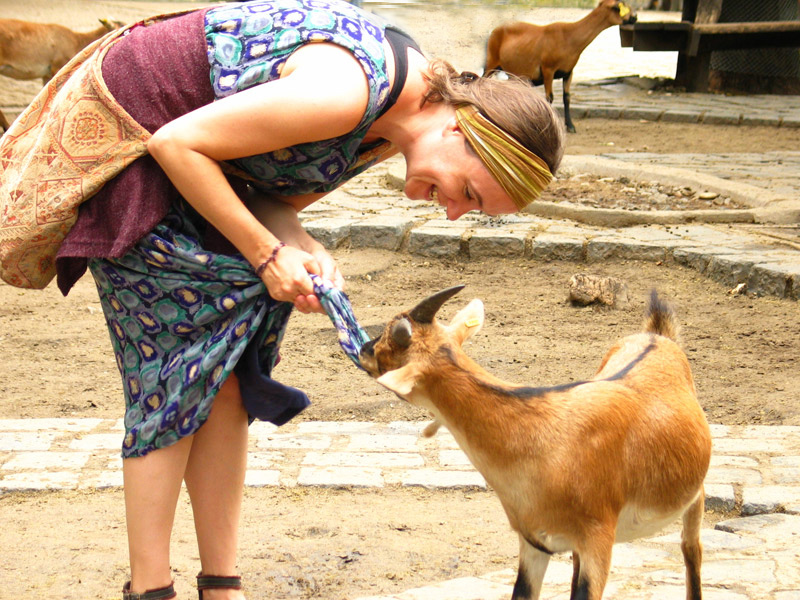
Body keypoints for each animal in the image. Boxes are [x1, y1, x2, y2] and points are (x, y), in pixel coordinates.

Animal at [360, 288, 708, 600]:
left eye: (389, 338)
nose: (364, 347)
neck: (539, 439)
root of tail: (657, 335)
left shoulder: (598, 540)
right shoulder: (534, 543)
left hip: (694, 498)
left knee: (691, 550)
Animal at [482, 0, 636, 132]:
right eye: (617, 7)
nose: (634, 18)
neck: (570, 37)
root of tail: (494, 31)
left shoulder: (569, 71)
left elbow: (566, 97)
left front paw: (571, 126)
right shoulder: (548, 69)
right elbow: (549, 98)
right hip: (491, 62)